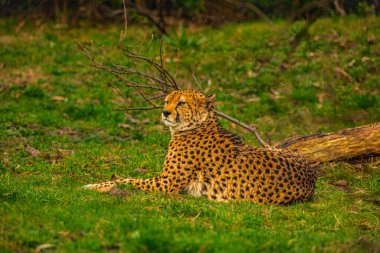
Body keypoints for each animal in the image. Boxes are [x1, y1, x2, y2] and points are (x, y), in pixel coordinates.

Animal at [84, 90, 318, 205]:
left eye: (181, 103)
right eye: (167, 101)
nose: (165, 112)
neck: (198, 124)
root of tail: (311, 179)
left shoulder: (166, 183)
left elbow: (127, 181)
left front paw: (92, 186)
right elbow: (128, 179)